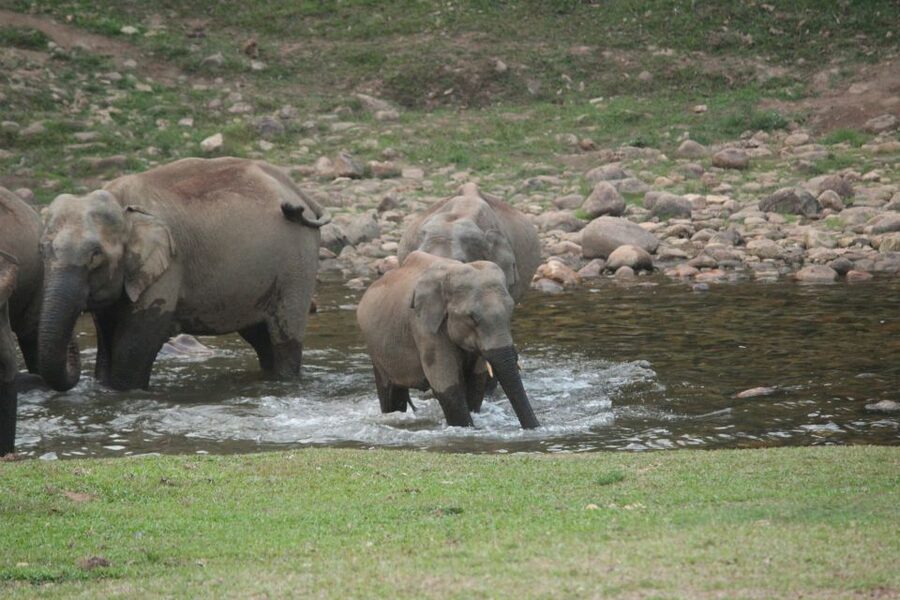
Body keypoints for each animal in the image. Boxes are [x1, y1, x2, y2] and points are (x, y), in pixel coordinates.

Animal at [38, 157, 330, 392]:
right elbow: (106, 336)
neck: (121, 203)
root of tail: (299, 193)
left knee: (283, 339)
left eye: (95, 255)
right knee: (260, 338)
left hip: (297, 262)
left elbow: (136, 343)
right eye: (43, 249)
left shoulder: (168, 269)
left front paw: (124, 392)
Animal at [356, 251, 539, 429]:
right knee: (390, 394)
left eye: (511, 311)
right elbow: (446, 384)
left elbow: (476, 381)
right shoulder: (423, 327)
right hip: (376, 350)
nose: (535, 428)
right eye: (472, 317)